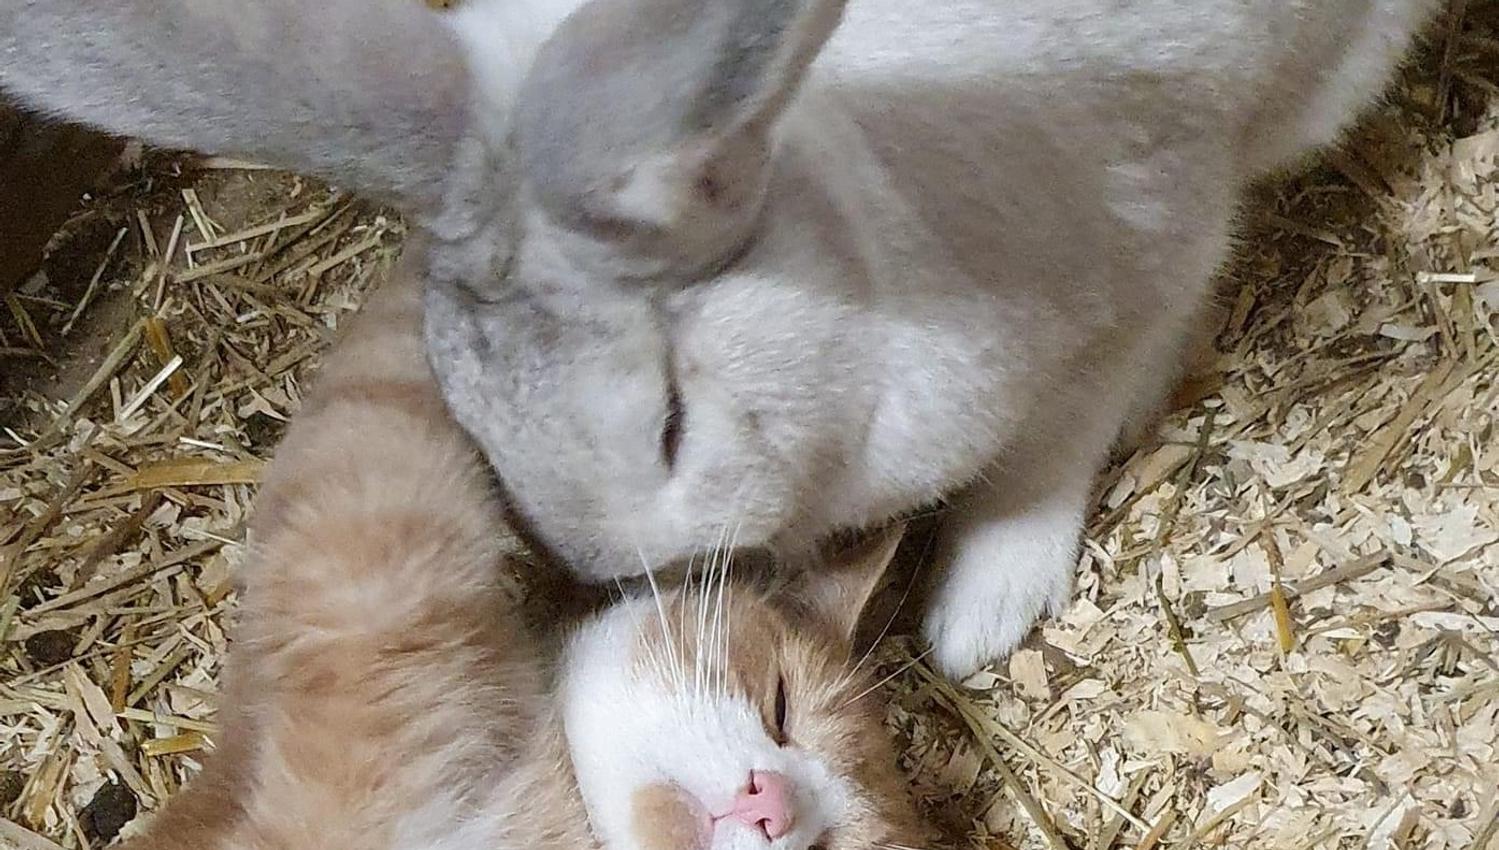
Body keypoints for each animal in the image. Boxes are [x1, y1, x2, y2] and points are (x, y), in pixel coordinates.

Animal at [0, 0, 1441, 678]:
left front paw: (975, 617)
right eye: (473, 424)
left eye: (669, 423)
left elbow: (1044, 462)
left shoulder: (1136, 273)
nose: (611, 565)